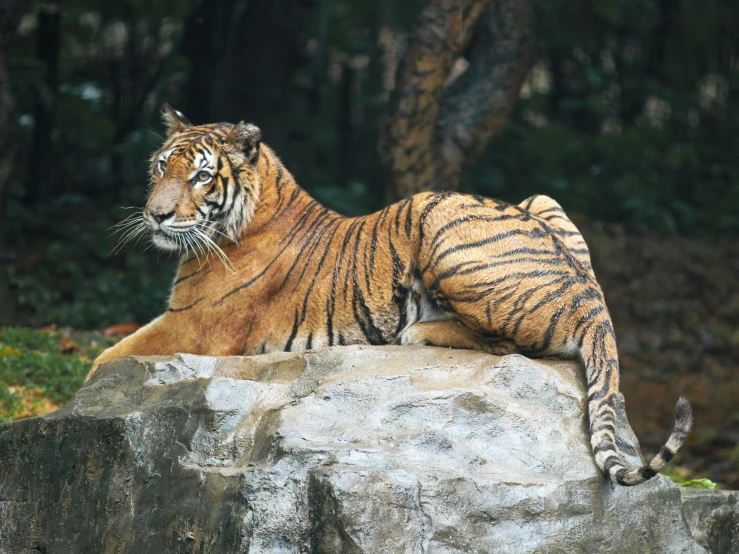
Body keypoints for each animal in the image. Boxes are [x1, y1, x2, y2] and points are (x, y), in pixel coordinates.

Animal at [89, 103, 696, 484]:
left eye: (201, 177)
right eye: (161, 167)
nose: (155, 215)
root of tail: (594, 301)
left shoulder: (191, 323)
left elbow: (104, 360)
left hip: (439, 220)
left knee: (515, 345)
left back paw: (419, 329)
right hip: (542, 199)